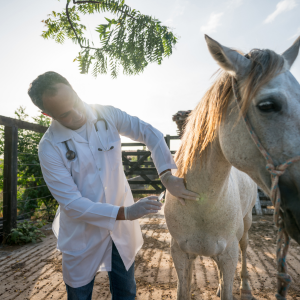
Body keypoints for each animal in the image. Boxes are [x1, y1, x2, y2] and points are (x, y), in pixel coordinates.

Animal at [164, 35, 300, 300]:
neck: (201, 205)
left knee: (245, 249)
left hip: (245, 227)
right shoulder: (180, 254)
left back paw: (245, 288)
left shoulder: (228, 255)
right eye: (267, 105)